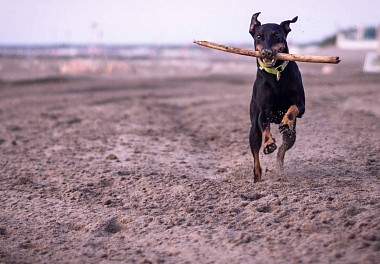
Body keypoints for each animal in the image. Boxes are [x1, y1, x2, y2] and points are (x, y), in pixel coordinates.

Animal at [249, 11, 306, 182]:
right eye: (259, 36)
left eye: (277, 35)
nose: (266, 52)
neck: (276, 74)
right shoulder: (263, 111)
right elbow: (265, 126)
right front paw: (268, 143)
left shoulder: (302, 105)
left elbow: (293, 108)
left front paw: (286, 122)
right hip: (253, 131)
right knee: (256, 155)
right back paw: (257, 177)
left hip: (292, 136)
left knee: (282, 149)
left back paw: (278, 167)